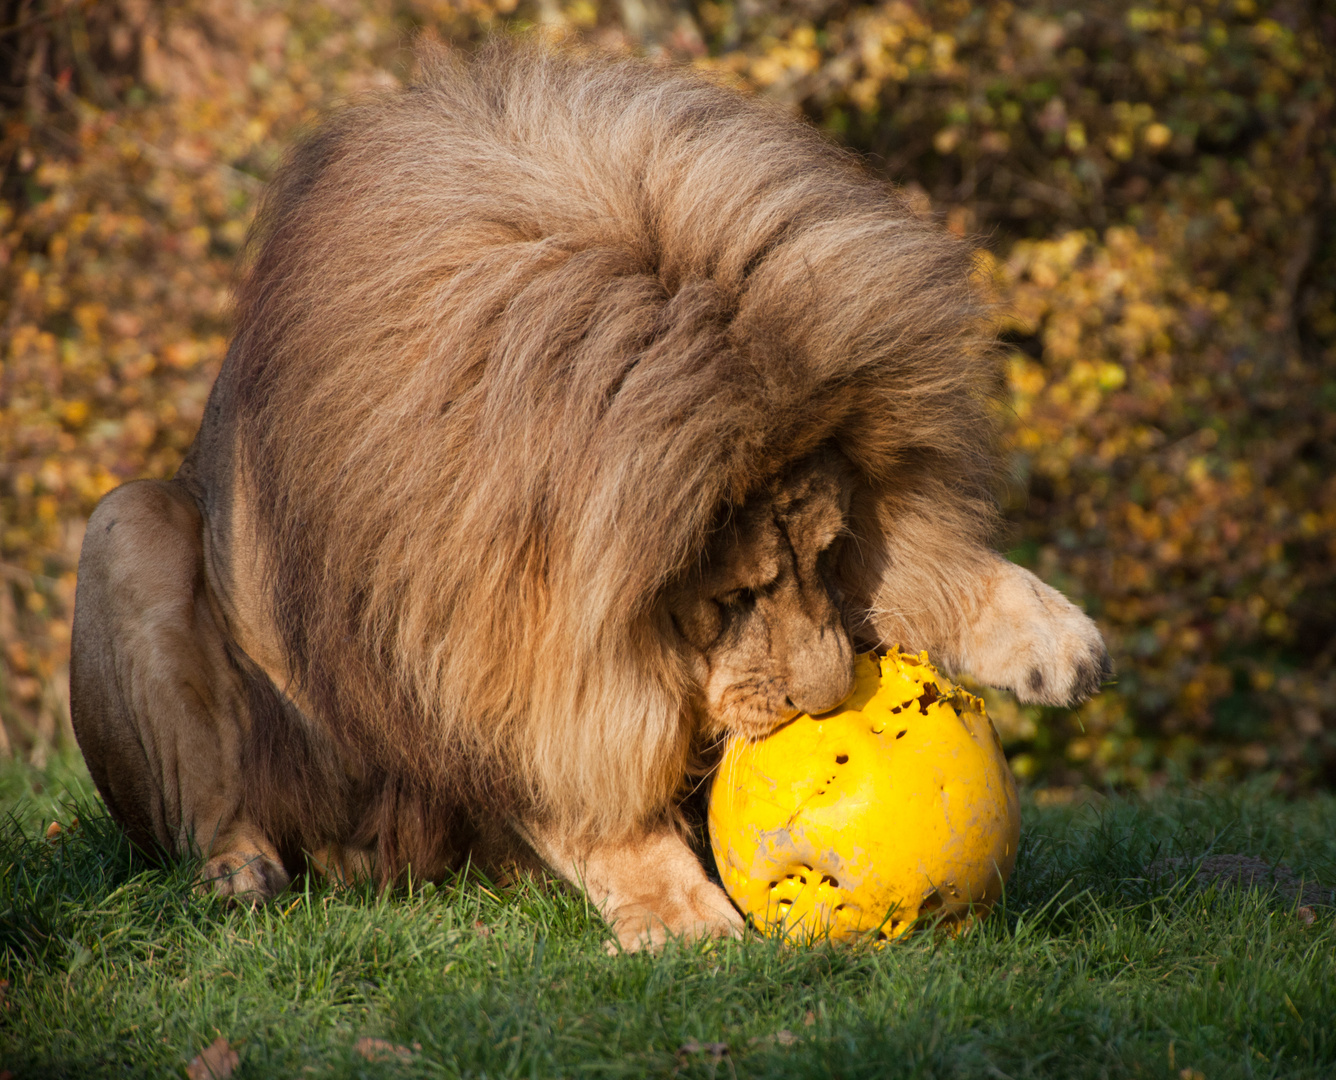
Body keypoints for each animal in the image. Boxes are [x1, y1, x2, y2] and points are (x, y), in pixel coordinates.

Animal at [75, 40, 1116, 951]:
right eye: (731, 599)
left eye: (823, 556)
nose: (829, 702)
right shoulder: (486, 649)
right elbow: (584, 787)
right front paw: (680, 914)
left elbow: (922, 564)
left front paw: (1052, 639)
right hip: (127, 523)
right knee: (214, 811)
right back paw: (239, 873)